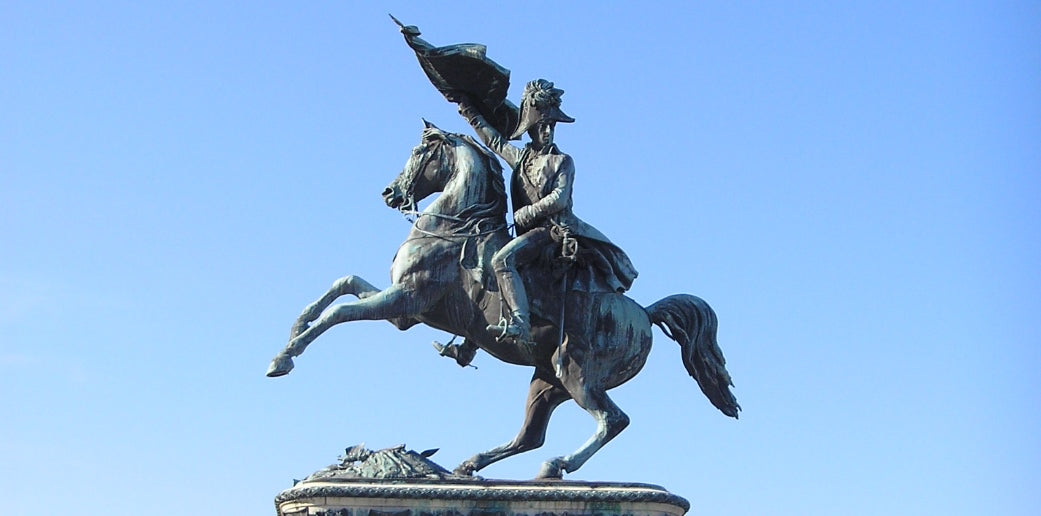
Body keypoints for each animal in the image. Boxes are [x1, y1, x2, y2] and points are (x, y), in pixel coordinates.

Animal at [268, 121, 741, 480]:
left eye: (419, 151)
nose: (389, 193)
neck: (453, 227)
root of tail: (643, 313)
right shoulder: (406, 312)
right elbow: (342, 284)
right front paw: (291, 333)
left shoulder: (403, 300)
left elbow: (340, 311)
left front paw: (286, 357)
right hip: (546, 381)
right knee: (531, 435)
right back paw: (472, 464)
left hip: (576, 373)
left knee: (612, 420)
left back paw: (556, 465)